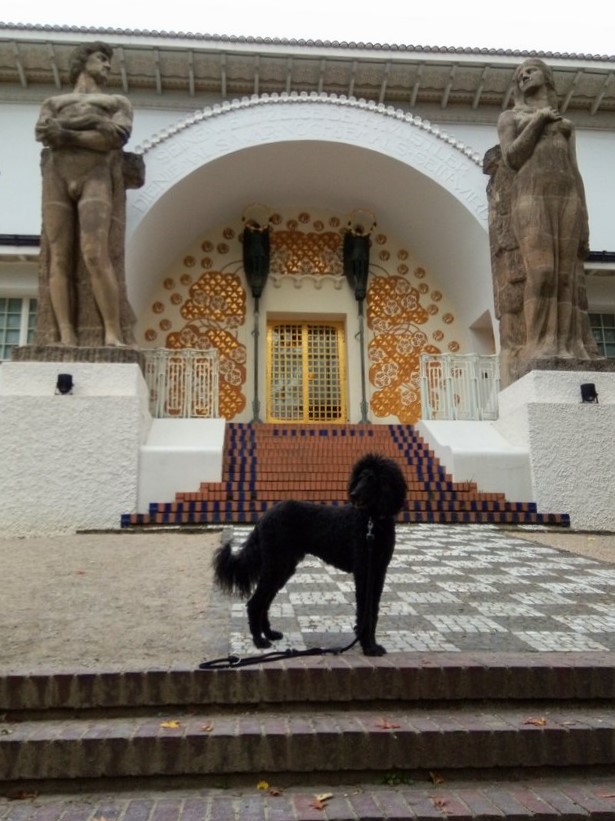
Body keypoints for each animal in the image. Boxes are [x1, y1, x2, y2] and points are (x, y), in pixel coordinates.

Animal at [213, 452, 410, 656]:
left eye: (371, 478)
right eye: (360, 477)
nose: (354, 494)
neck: (372, 520)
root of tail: (264, 517)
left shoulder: (378, 572)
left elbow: (374, 610)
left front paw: (370, 643)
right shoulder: (364, 571)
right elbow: (365, 611)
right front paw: (369, 647)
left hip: (282, 568)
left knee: (265, 602)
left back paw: (269, 634)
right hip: (276, 566)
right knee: (255, 603)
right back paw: (259, 641)